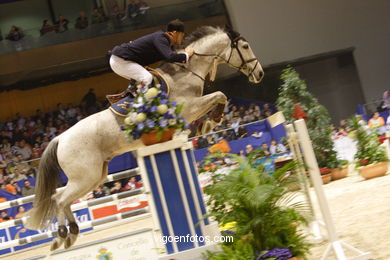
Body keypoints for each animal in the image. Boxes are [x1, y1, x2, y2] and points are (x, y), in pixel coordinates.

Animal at [25, 25, 264, 250]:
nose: (260, 73)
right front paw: (210, 123)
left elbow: (219, 97)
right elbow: (220, 95)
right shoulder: (188, 109)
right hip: (85, 177)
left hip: (94, 177)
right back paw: (63, 236)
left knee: (62, 199)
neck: (186, 73)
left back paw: (70, 233)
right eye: (245, 46)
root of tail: (59, 139)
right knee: (59, 199)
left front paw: (208, 124)